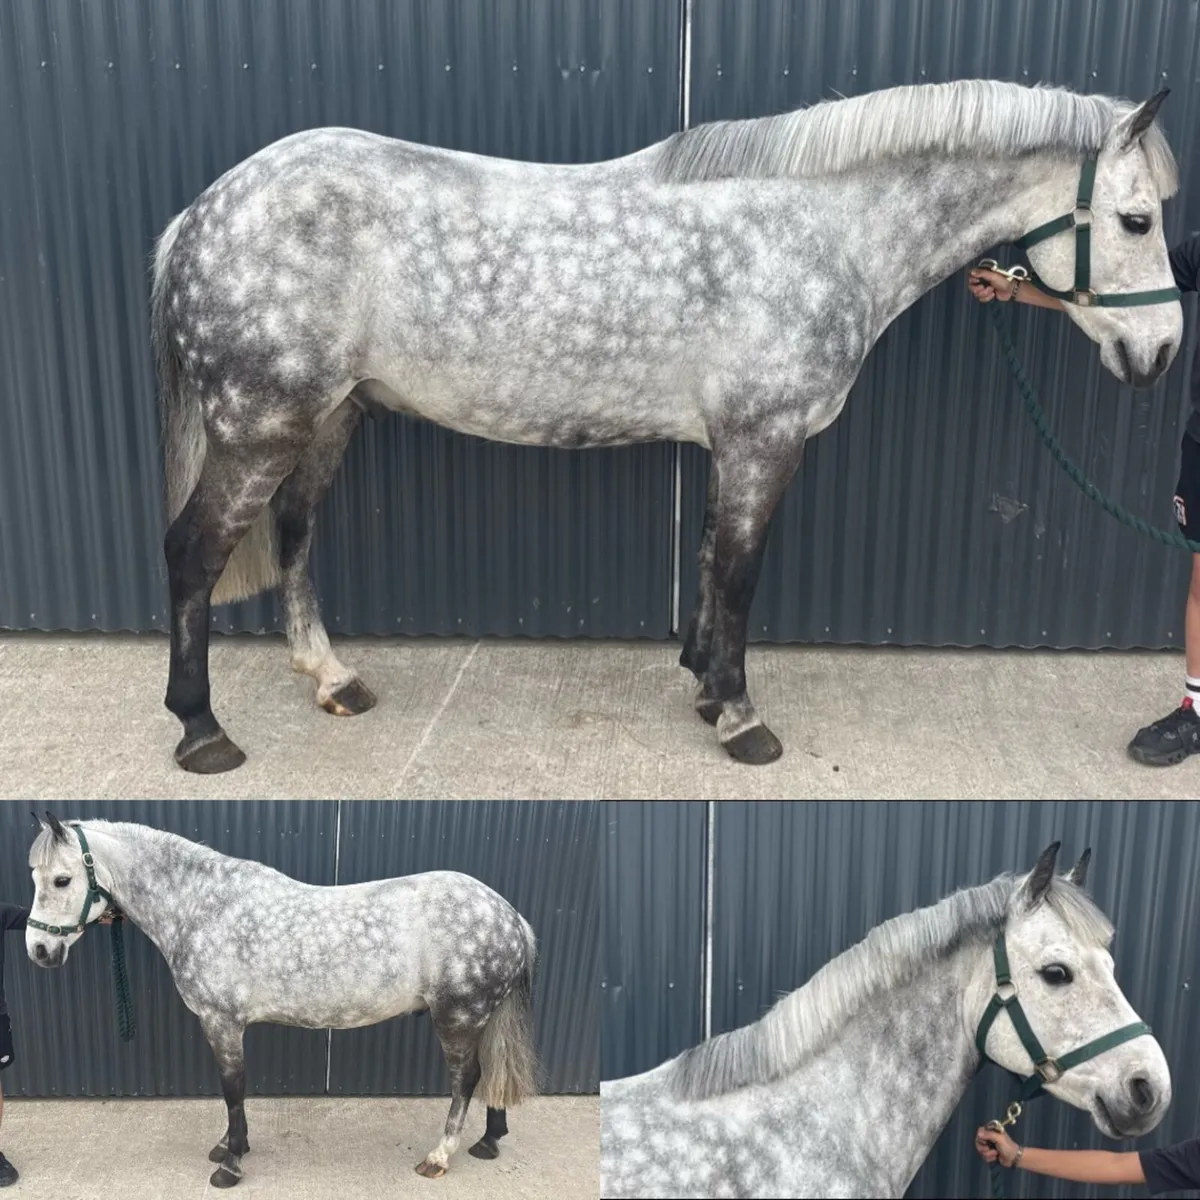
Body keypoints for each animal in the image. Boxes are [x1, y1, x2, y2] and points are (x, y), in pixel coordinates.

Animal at [23, 812, 539, 1189]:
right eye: (36, 877)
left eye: (63, 880)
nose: (39, 951)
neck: (201, 906)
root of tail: (511, 916)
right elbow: (233, 1094)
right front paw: (230, 1145)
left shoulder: (222, 1022)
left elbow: (233, 1089)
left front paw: (230, 1165)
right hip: (479, 1018)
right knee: (492, 1072)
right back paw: (488, 1142)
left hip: (458, 1017)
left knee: (467, 1078)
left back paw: (440, 1156)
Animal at [151, 78, 1183, 774]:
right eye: (1136, 220)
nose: (1163, 351)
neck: (819, 230)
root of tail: (198, 215)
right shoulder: (765, 438)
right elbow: (740, 572)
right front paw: (740, 719)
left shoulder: (731, 443)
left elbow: (711, 561)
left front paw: (702, 686)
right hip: (261, 425)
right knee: (195, 551)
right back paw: (202, 731)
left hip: (327, 416)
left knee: (294, 533)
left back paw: (332, 679)